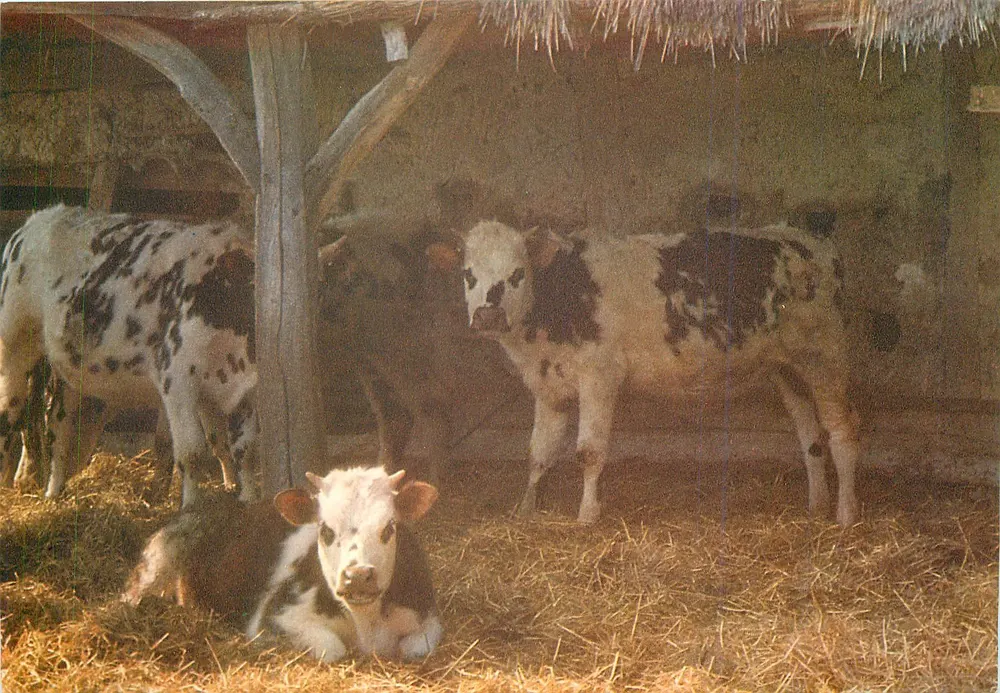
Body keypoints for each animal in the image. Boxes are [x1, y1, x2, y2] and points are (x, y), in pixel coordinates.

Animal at [0, 204, 258, 505]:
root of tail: (36, 219)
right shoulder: (177, 381)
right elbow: (192, 452)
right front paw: (192, 507)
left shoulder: (246, 392)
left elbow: (244, 450)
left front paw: (249, 500)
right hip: (14, 348)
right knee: (10, 413)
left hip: (70, 370)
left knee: (58, 426)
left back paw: (54, 493)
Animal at [122, 466, 443, 661]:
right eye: (325, 529)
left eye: (389, 528)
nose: (358, 575)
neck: (365, 623)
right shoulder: (272, 619)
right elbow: (332, 648)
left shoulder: (429, 619)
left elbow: (416, 647)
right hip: (161, 555)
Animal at [430, 220, 860, 527]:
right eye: (468, 274)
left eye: (518, 273)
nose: (487, 315)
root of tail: (807, 238)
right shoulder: (549, 385)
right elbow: (538, 452)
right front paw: (525, 510)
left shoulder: (599, 376)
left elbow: (588, 452)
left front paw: (586, 516)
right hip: (789, 369)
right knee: (809, 435)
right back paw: (817, 505)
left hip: (826, 356)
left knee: (842, 430)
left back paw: (846, 513)